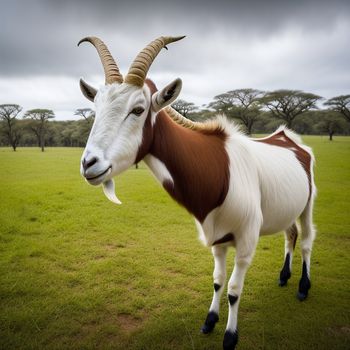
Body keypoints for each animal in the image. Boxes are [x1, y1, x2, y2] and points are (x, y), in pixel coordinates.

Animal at [78, 36, 318, 350]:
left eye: (138, 109)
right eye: (96, 108)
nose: (89, 164)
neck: (219, 166)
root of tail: (289, 140)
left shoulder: (246, 241)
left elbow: (234, 289)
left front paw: (230, 336)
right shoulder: (218, 239)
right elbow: (217, 280)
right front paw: (209, 321)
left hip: (307, 206)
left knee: (306, 240)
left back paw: (302, 288)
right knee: (290, 235)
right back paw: (283, 277)